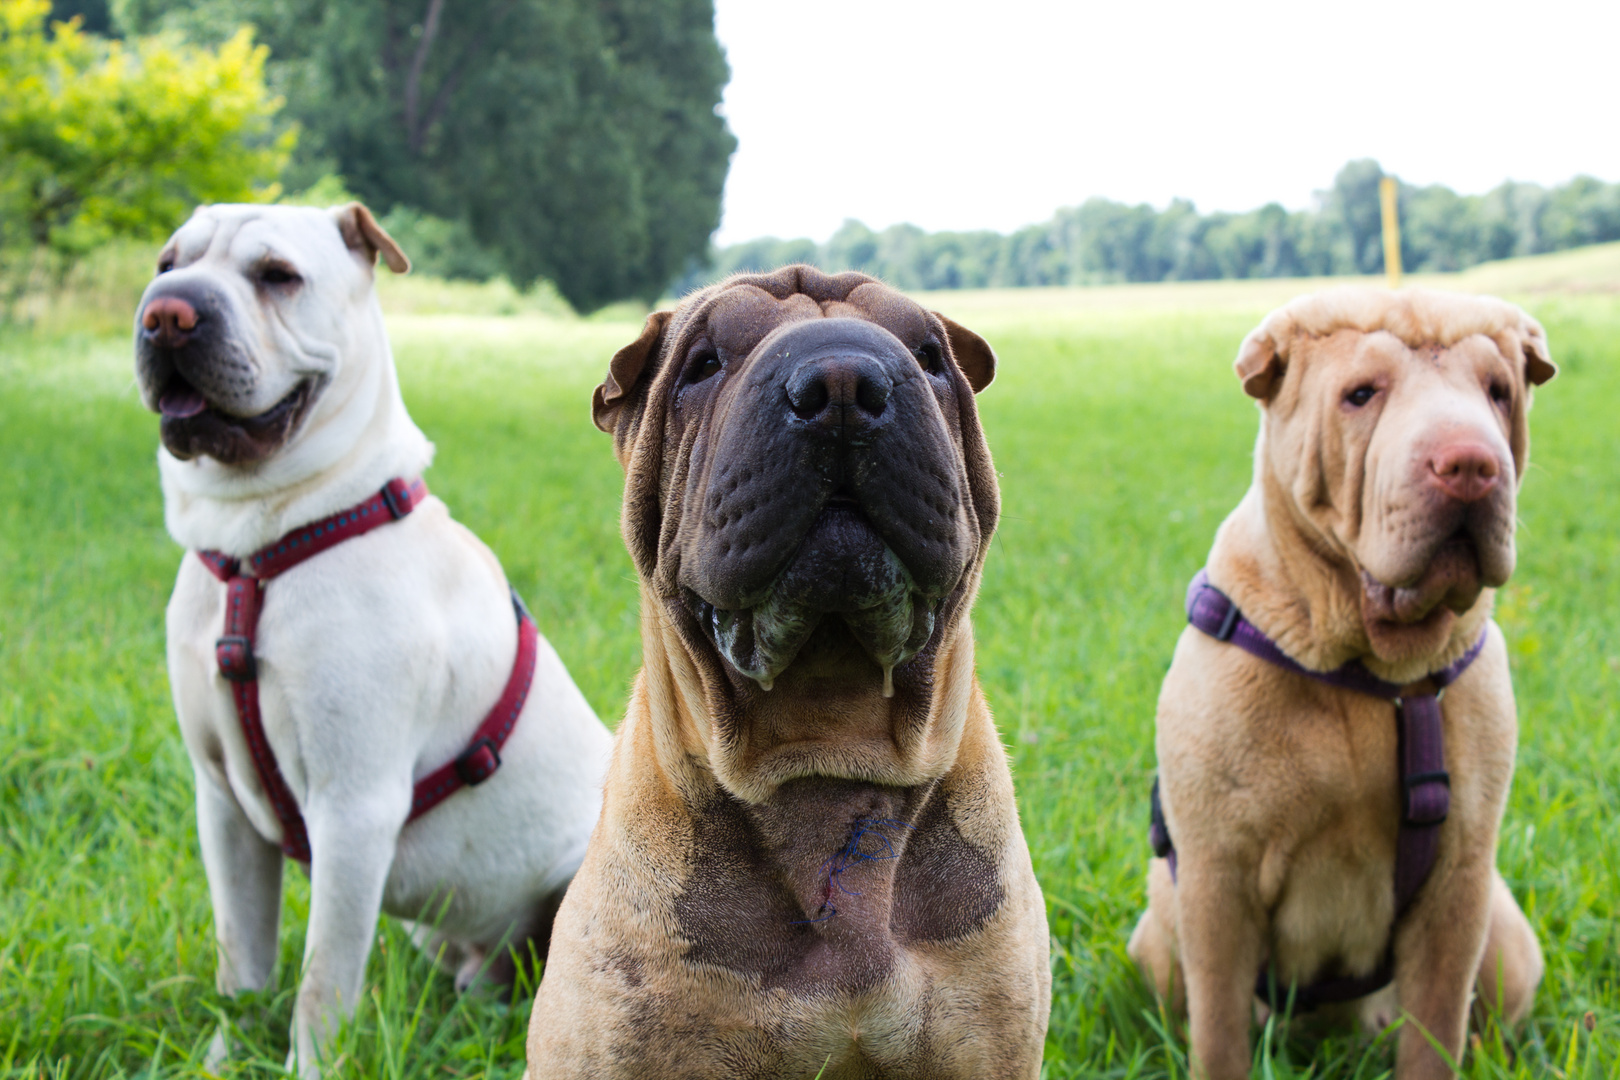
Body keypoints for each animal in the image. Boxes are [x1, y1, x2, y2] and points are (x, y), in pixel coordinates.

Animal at [131, 200, 612, 1075]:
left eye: (278, 276)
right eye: (166, 264)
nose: (167, 314)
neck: (260, 547)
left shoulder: (352, 810)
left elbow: (322, 982)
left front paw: (306, 1065)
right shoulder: (221, 801)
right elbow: (241, 957)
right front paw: (226, 1050)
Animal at [1127, 289, 1555, 1080]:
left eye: (1498, 391)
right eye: (1361, 394)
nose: (1472, 464)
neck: (1371, 672)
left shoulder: (1458, 886)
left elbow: (1435, 1034)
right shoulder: (1216, 883)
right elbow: (1219, 1034)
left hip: (1507, 940)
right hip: (1158, 926)